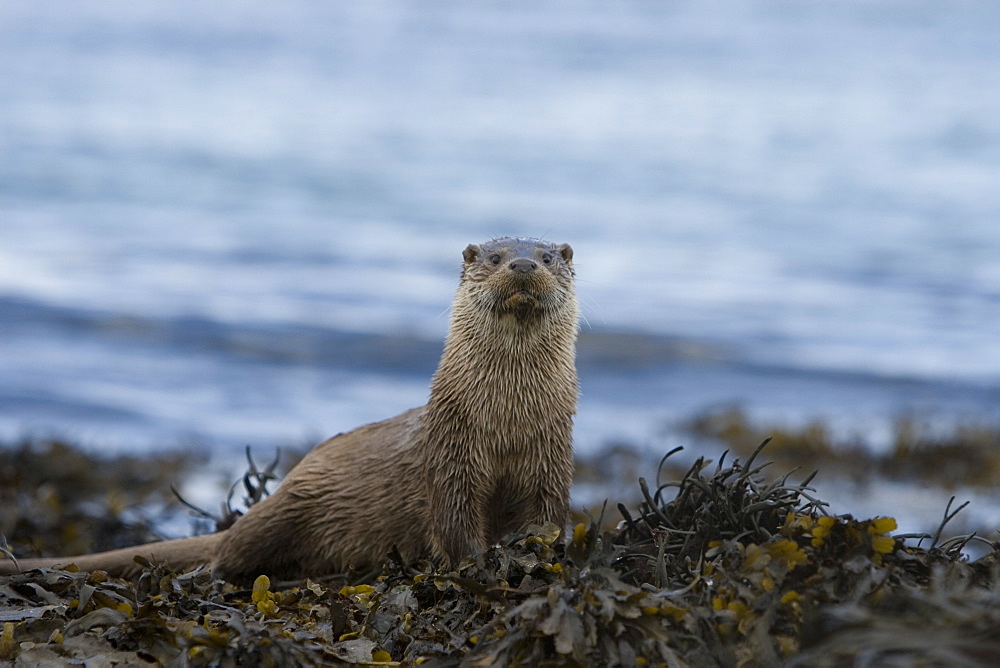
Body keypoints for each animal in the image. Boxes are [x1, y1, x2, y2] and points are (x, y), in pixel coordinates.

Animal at [1, 237, 580, 580]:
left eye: (548, 258)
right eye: (495, 258)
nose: (523, 263)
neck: (504, 423)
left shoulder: (551, 461)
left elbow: (546, 518)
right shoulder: (450, 460)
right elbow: (455, 525)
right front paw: (480, 565)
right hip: (292, 505)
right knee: (231, 551)